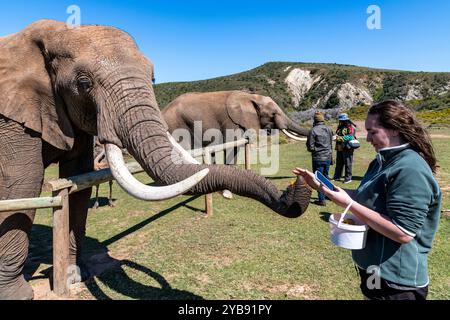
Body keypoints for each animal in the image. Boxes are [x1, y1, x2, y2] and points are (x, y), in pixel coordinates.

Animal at [0, 20, 310, 300]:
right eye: (84, 83)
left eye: (153, 78)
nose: (295, 187)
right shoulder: (14, 118)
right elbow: (23, 187)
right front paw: (18, 295)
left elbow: (79, 181)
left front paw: (75, 275)